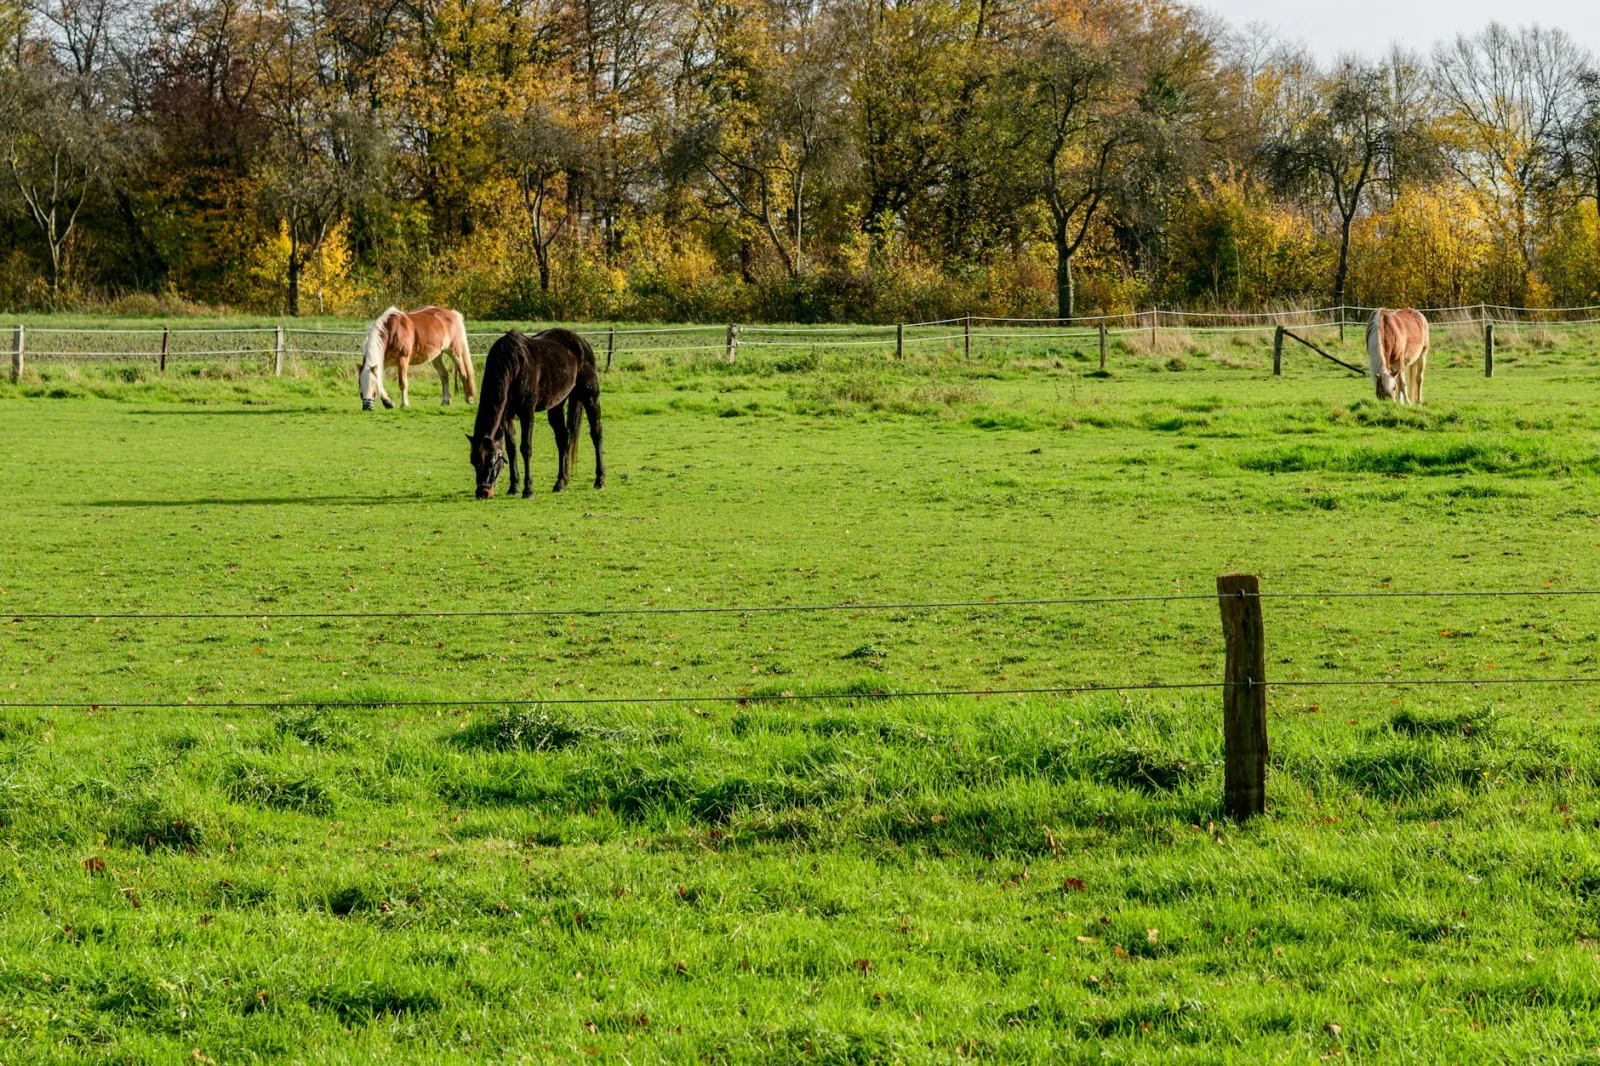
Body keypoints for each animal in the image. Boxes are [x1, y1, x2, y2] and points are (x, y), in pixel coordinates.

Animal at [467, 328, 604, 499]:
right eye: (473, 461)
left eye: (491, 461)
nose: (483, 492)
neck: (513, 365)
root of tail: (581, 341)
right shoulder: (507, 416)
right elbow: (511, 449)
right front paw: (513, 487)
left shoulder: (527, 412)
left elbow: (526, 448)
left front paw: (528, 490)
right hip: (556, 404)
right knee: (563, 438)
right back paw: (561, 483)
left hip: (590, 396)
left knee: (596, 433)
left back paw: (600, 480)